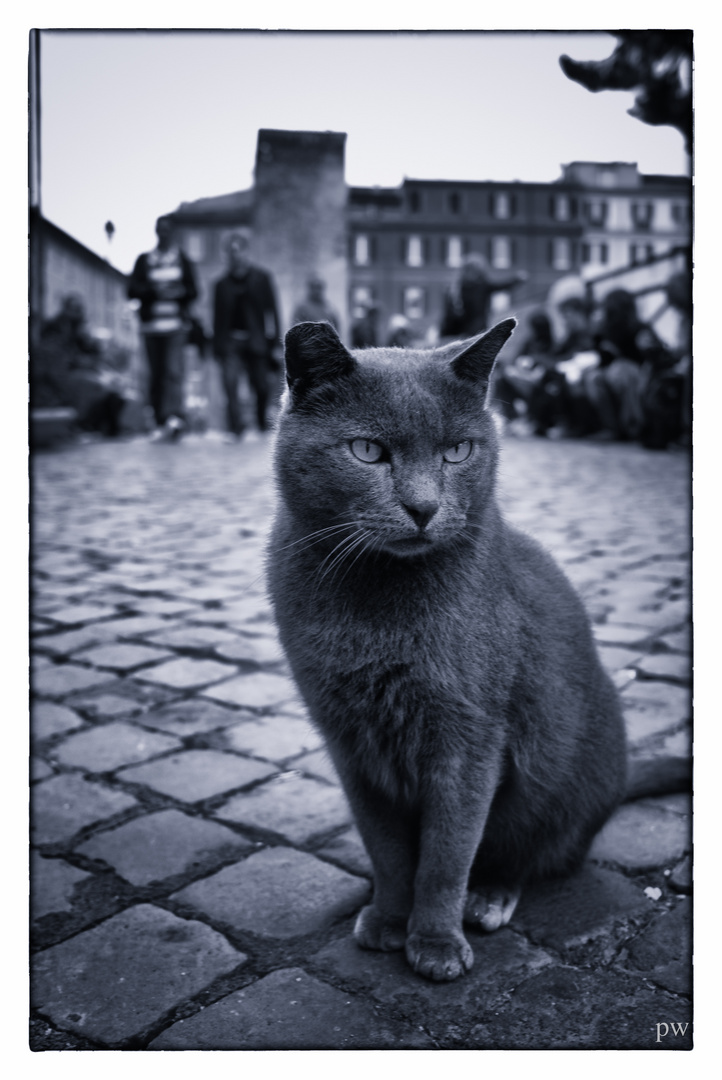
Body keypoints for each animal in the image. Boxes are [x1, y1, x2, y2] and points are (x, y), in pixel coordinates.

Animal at [264, 315, 625, 984]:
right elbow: (388, 850)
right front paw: (387, 918)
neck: (377, 611)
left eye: (458, 451)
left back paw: (489, 898)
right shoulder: (350, 742)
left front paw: (433, 942)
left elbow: (446, 855)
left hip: (553, 785)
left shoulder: (470, 739)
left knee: (530, 854)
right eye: (368, 451)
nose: (424, 507)